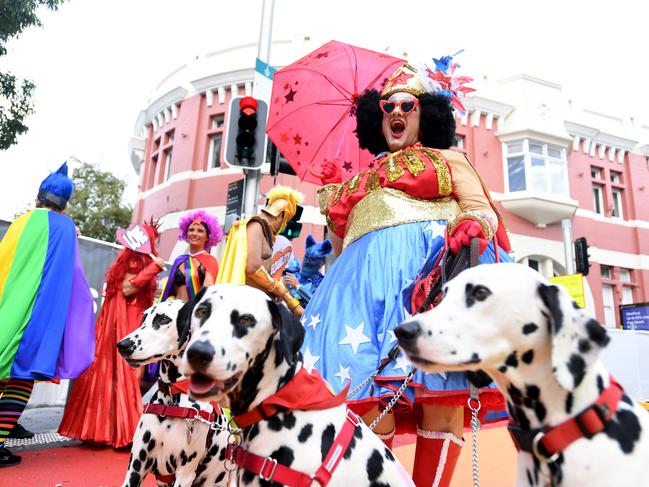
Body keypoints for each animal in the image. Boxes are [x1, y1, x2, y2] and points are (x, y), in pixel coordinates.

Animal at [115, 302, 229, 487]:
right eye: (143, 318)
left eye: (163, 319)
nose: (122, 345)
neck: (173, 396)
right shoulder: (135, 467)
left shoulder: (185, 474)